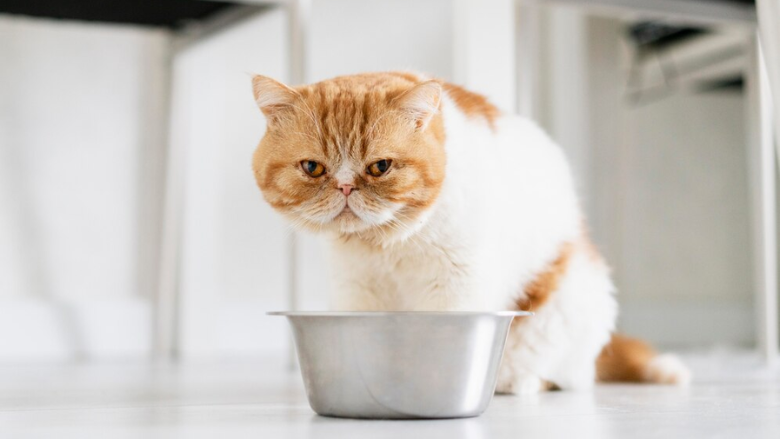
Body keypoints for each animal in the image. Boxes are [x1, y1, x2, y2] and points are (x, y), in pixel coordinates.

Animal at [250, 70, 688, 394]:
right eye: (312, 168)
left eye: (380, 167)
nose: (344, 188)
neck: (387, 245)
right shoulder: (357, 291)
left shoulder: (455, 284)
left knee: (556, 376)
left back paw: (516, 382)